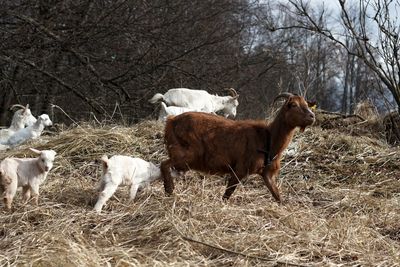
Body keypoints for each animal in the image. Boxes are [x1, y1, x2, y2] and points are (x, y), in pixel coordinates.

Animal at [160, 93, 316, 202]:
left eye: (307, 104)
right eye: (293, 105)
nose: (312, 116)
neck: (268, 138)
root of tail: (171, 121)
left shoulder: (266, 173)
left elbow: (277, 196)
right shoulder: (240, 169)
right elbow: (227, 193)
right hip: (186, 155)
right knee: (164, 164)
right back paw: (169, 191)